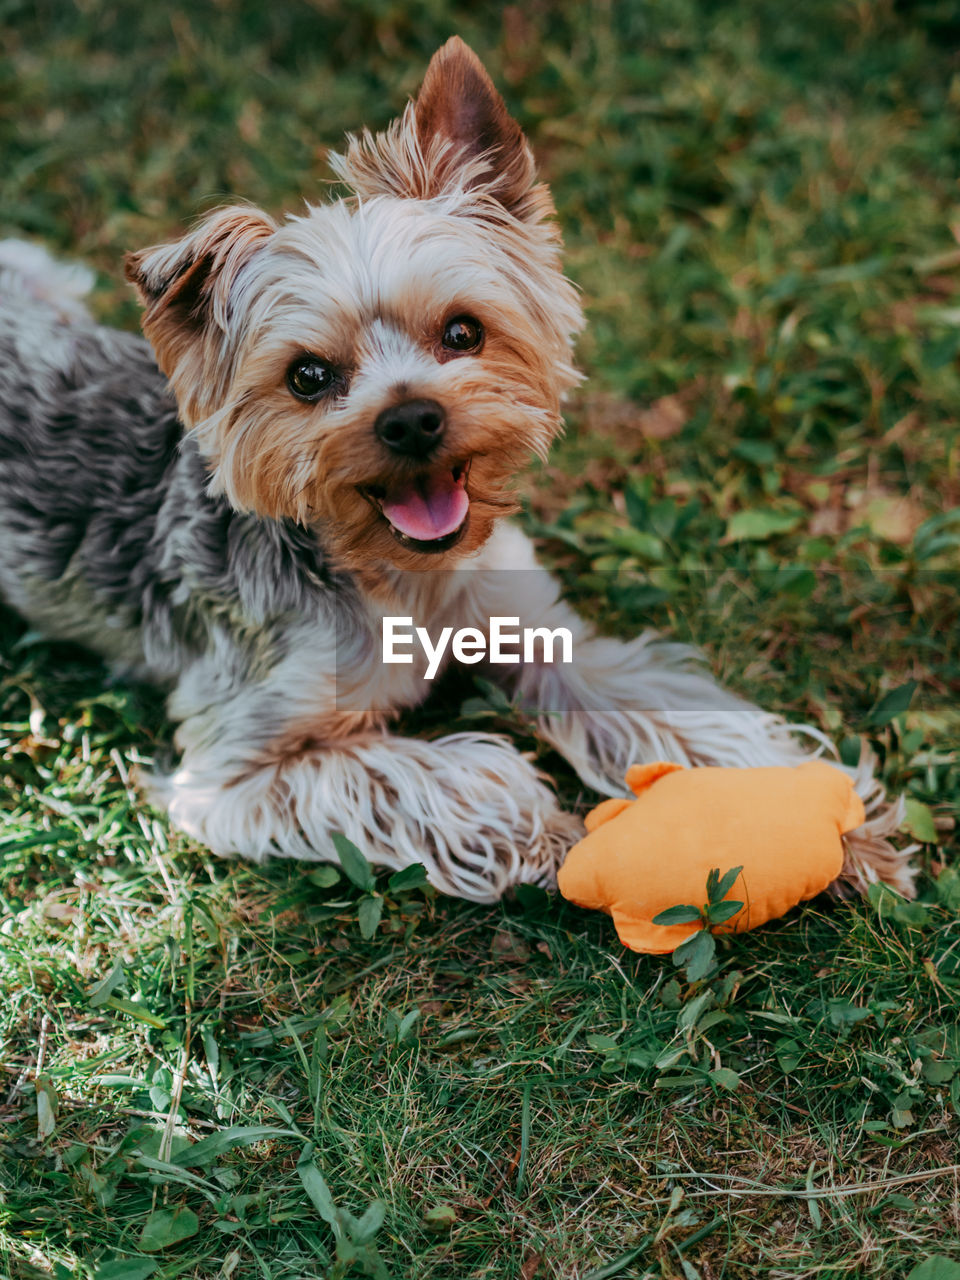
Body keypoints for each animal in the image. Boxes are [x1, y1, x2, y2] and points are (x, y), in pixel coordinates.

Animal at [0, 37, 916, 901]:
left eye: (463, 332)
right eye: (307, 377)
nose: (410, 418)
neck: (400, 575)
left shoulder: (544, 633)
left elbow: (672, 713)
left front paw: (815, 820)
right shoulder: (242, 764)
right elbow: (450, 780)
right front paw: (558, 837)